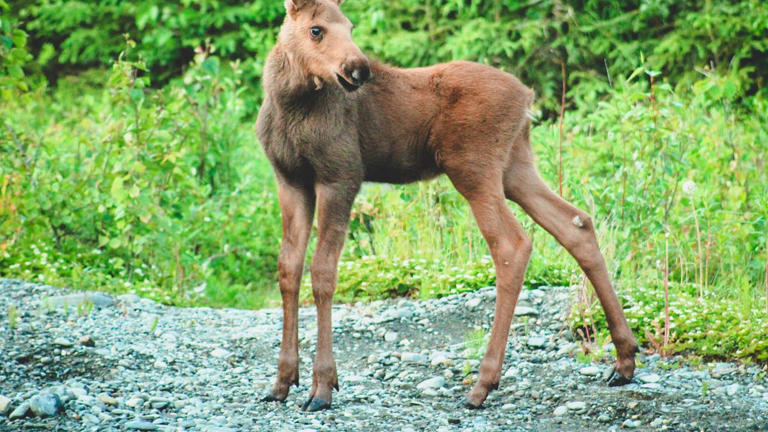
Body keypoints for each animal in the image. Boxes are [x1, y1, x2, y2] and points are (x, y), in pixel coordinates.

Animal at [256, 0, 638, 412]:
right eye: (316, 30)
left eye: (350, 26)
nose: (358, 69)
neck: (291, 102)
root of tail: (527, 97)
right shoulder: (290, 179)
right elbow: (288, 269)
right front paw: (281, 382)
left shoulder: (341, 175)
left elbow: (323, 272)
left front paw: (322, 387)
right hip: (515, 166)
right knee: (576, 222)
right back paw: (624, 359)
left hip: (473, 166)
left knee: (512, 243)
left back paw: (482, 384)